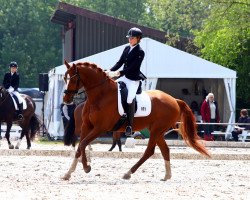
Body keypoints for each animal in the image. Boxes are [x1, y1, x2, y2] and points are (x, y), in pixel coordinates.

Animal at [61, 61, 210, 181]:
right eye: (64, 78)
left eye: (73, 79)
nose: (66, 100)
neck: (100, 96)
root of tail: (174, 100)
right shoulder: (87, 126)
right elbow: (80, 146)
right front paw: (69, 173)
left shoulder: (99, 128)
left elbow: (83, 144)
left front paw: (86, 167)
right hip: (157, 131)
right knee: (165, 150)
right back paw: (167, 176)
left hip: (156, 130)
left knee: (149, 151)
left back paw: (128, 173)